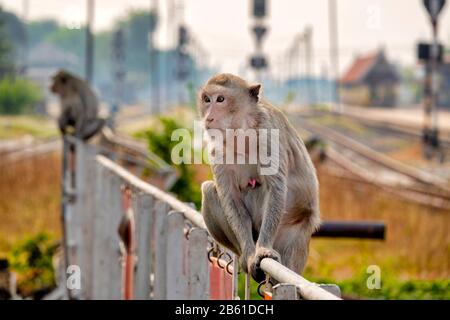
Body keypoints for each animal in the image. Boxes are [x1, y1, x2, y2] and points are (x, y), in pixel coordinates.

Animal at [198, 74, 320, 282]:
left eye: (220, 99)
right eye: (207, 100)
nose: (209, 117)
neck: (240, 131)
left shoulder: (268, 134)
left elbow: (275, 189)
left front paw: (262, 250)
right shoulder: (217, 149)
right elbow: (231, 198)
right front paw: (249, 254)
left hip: (294, 238)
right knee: (209, 190)